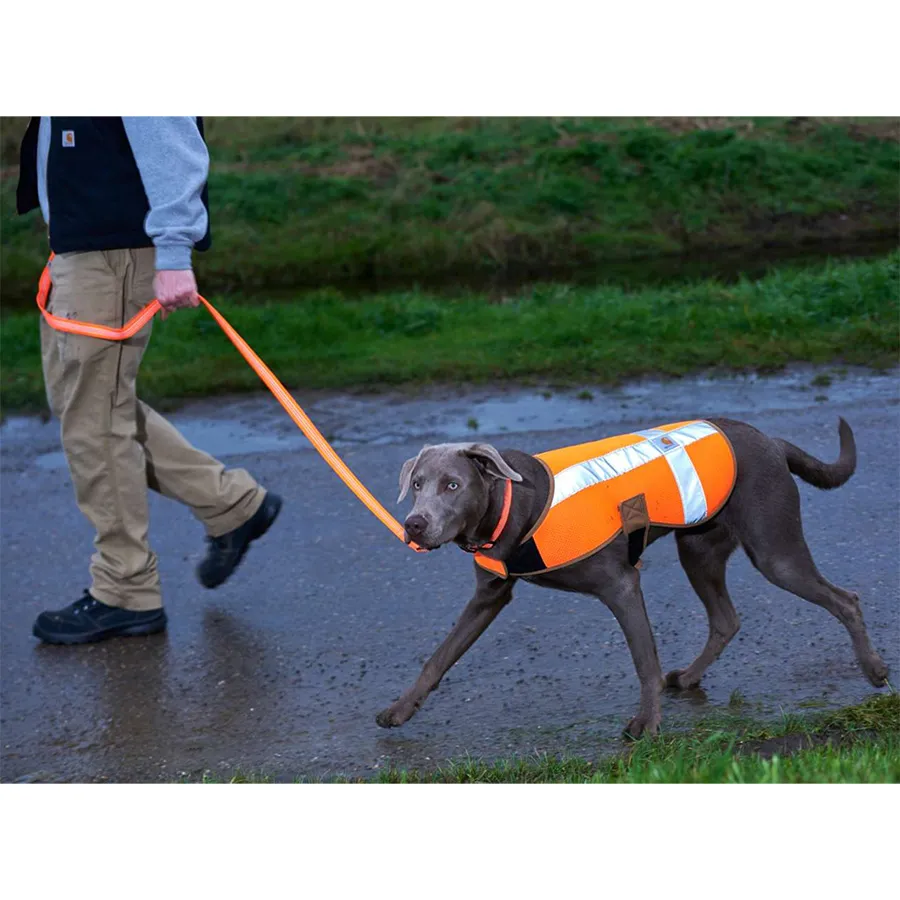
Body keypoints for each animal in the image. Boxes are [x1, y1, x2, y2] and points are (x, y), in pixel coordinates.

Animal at [376, 416, 888, 740]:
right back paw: (689, 678)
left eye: (453, 485)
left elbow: (645, 661)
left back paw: (874, 669)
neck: (511, 506)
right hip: (699, 549)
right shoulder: (490, 596)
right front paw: (400, 709)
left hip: (774, 550)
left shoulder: (622, 585)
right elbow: (439, 658)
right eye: (417, 484)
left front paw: (646, 724)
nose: (414, 525)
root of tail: (772, 441)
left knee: (845, 599)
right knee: (726, 619)